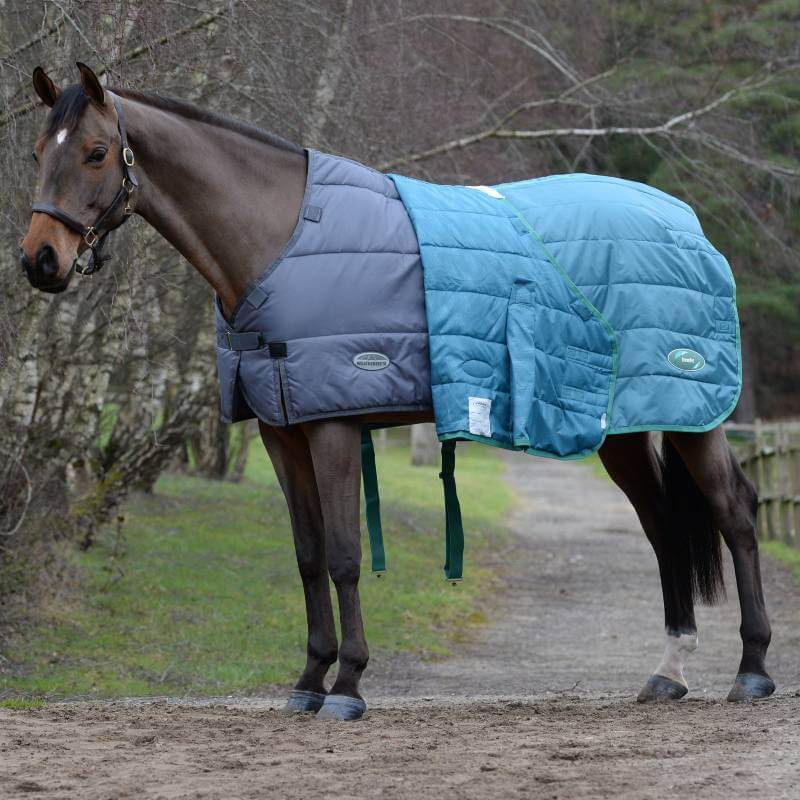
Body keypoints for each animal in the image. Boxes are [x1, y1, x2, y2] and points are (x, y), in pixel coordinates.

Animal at [19, 64, 774, 720]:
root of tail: (685, 222)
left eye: (94, 152)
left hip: (692, 415)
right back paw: (668, 673)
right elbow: (308, 557)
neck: (280, 238)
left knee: (735, 511)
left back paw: (752, 671)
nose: (40, 261)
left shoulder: (333, 425)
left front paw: (349, 686)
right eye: (35, 152)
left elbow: (346, 557)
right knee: (661, 524)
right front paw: (309, 681)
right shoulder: (281, 430)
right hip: (624, 426)